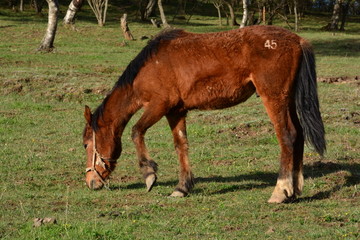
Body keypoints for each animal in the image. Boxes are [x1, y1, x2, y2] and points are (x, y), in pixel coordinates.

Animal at [83, 25, 326, 202]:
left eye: (86, 144)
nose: (90, 182)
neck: (150, 66)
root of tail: (297, 40)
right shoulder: (175, 111)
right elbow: (181, 145)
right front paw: (182, 187)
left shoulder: (159, 105)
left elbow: (136, 131)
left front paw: (149, 174)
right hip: (287, 100)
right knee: (299, 135)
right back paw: (295, 189)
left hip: (274, 98)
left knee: (287, 136)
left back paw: (280, 191)